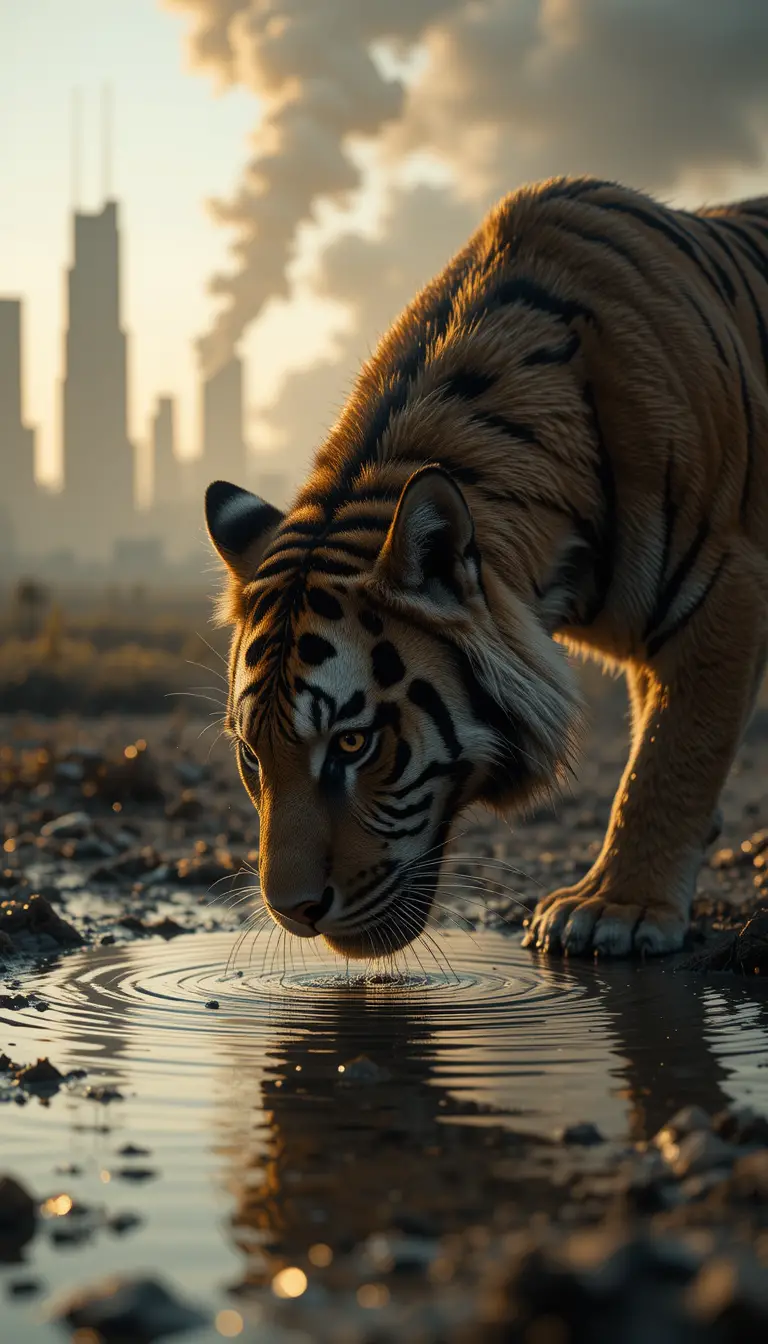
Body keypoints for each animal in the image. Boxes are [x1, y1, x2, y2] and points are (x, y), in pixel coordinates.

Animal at [205, 175, 768, 962]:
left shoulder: (724, 585)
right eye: (252, 756)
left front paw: (617, 908)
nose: (293, 912)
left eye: (352, 743)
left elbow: (673, 753)